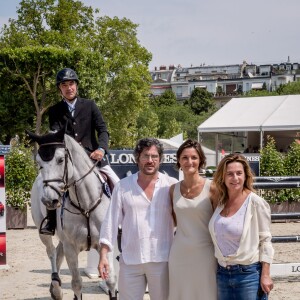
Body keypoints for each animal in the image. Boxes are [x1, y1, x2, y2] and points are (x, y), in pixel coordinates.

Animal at [27, 129, 117, 300]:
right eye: (39, 163)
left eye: (61, 159)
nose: (49, 200)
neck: (85, 204)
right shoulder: (71, 247)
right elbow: (76, 284)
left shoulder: (103, 244)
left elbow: (110, 281)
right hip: (44, 233)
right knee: (51, 252)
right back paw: (56, 286)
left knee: (58, 252)